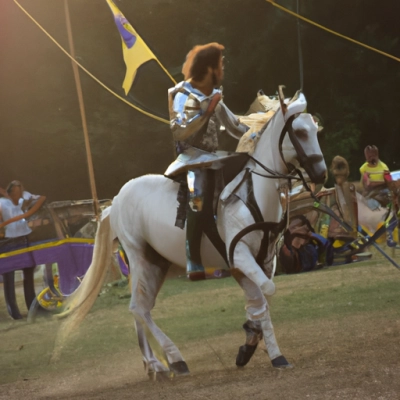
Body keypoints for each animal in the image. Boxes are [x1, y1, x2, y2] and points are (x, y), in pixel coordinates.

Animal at [54, 90, 326, 378]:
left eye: (315, 129)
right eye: (300, 132)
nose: (321, 174)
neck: (255, 193)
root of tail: (115, 201)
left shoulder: (263, 261)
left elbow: (261, 299)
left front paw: (251, 345)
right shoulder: (241, 256)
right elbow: (266, 293)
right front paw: (270, 352)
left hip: (156, 263)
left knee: (139, 309)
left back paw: (154, 364)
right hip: (140, 259)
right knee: (138, 308)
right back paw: (173, 359)